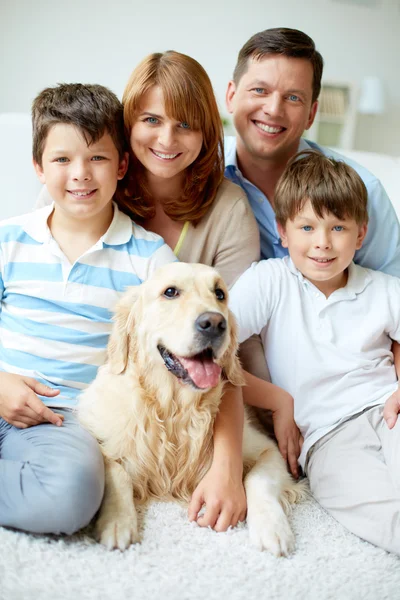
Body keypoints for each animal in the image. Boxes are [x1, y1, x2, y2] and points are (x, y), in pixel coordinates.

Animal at [77, 262, 304, 556]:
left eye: (220, 294)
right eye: (170, 292)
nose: (215, 323)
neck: (174, 409)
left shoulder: (268, 449)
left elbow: (258, 479)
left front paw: (272, 529)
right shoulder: (101, 434)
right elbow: (116, 470)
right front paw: (118, 521)